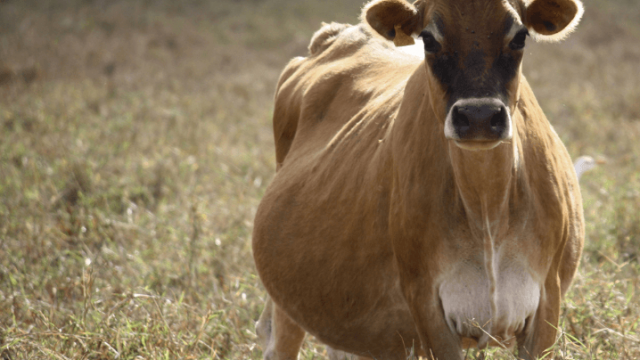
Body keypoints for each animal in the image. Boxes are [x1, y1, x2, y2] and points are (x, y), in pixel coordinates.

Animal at [250, 0, 584, 358]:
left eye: (520, 36)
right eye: (429, 39)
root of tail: (335, 34)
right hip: (288, 294)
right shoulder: (426, 303)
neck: (486, 208)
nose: (478, 117)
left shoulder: (548, 300)